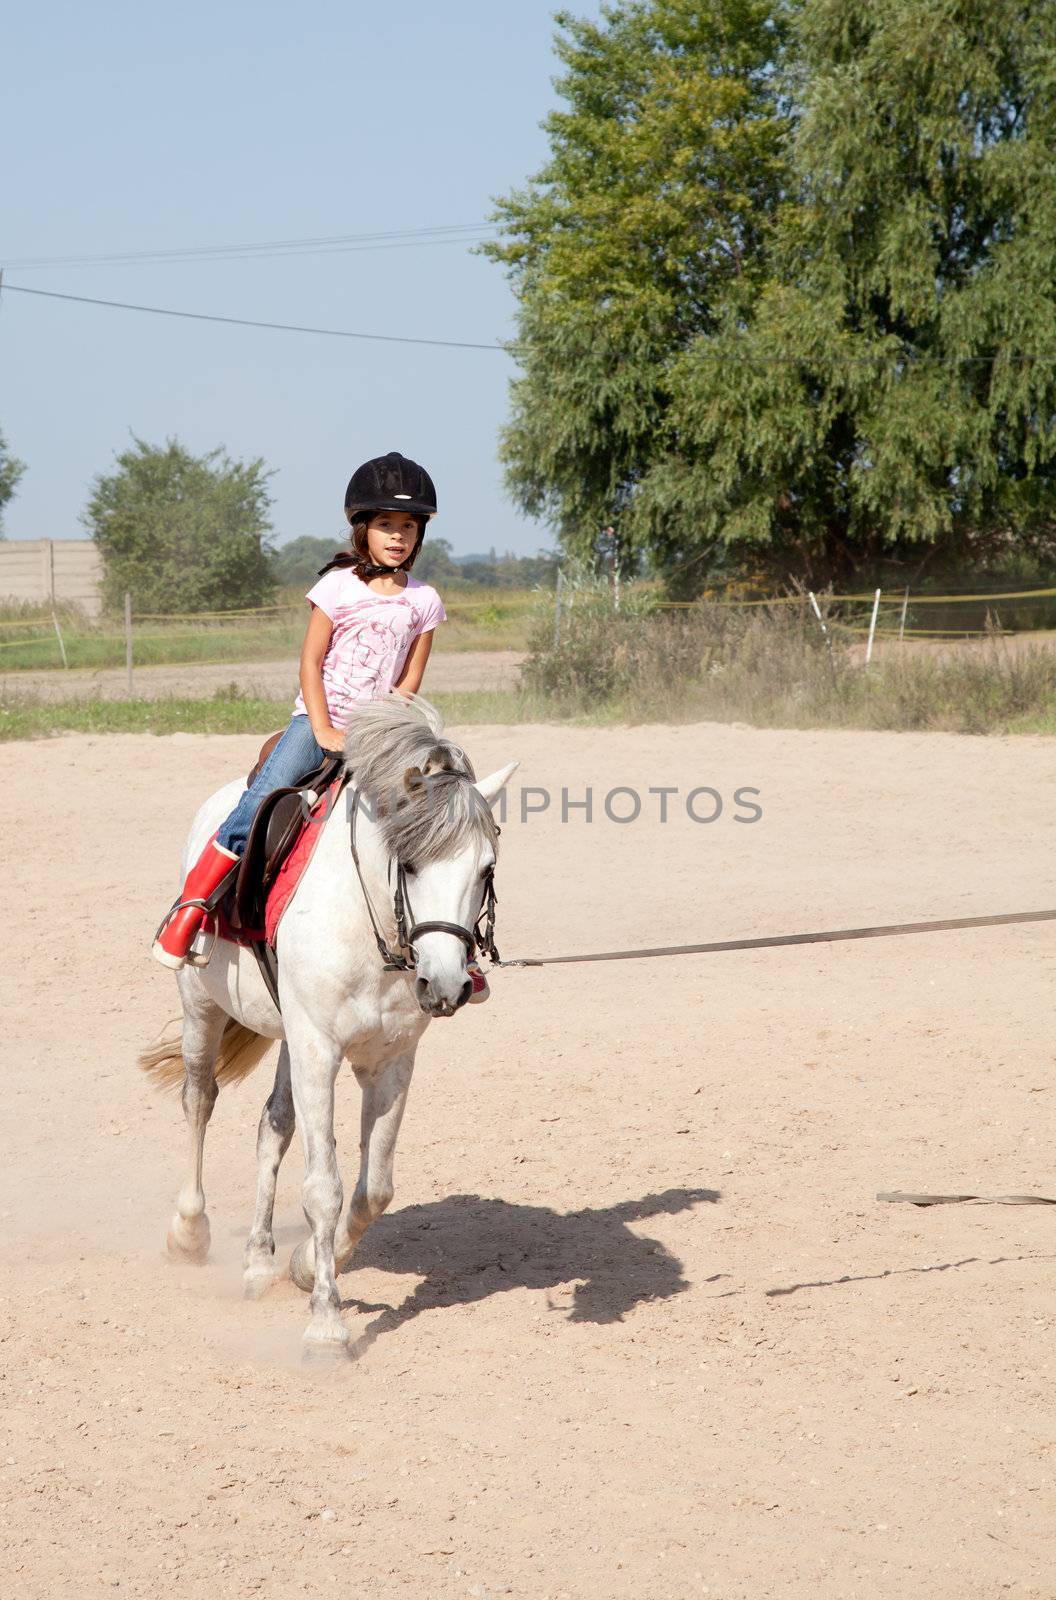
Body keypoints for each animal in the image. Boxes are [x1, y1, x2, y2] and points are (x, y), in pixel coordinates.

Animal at [140, 694, 518, 1356]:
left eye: (486, 868)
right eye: (408, 863)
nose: (446, 985)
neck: (371, 928)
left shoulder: (389, 1059)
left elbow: (373, 1190)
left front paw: (303, 1267)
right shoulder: (320, 1050)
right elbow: (324, 1187)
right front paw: (326, 1325)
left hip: (290, 1036)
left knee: (274, 1125)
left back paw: (258, 1261)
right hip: (201, 1008)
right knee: (199, 1100)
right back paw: (189, 1231)